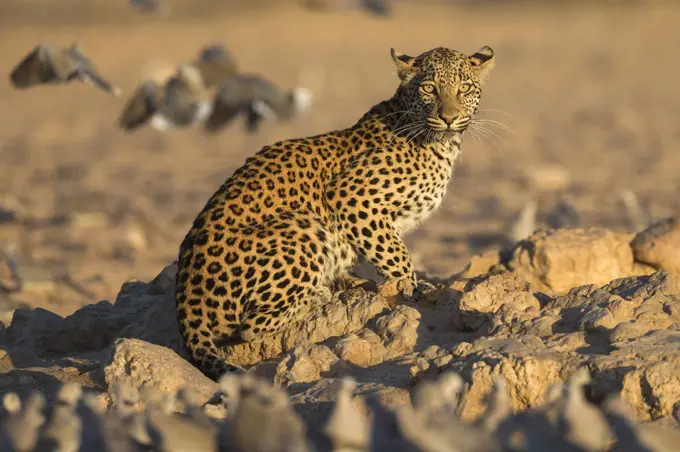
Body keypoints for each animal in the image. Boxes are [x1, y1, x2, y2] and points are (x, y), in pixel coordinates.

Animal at [174, 45, 494, 378]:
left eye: (464, 88)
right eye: (429, 88)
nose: (449, 118)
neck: (440, 143)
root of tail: (188, 303)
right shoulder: (352, 196)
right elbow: (397, 258)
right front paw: (411, 291)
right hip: (302, 225)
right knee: (251, 326)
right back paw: (318, 296)